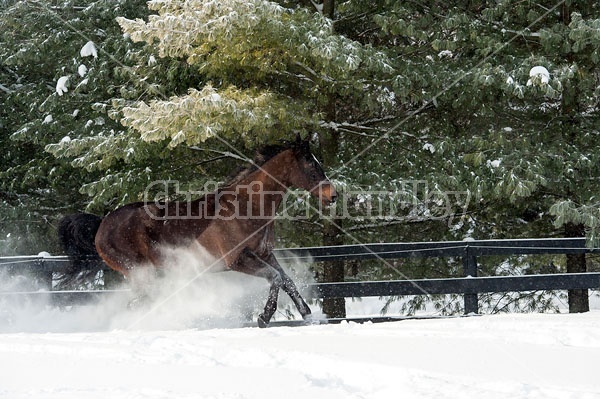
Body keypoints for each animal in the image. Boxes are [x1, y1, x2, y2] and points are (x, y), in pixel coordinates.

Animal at [59, 138, 338, 328]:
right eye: (310, 165)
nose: (333, 195)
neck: (247, 206)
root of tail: (102, 224)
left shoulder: (264, 254)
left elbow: (287, 280)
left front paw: (309, 315)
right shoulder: (237, 260)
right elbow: (276, 278)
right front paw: (264, 317)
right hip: (140, 271)